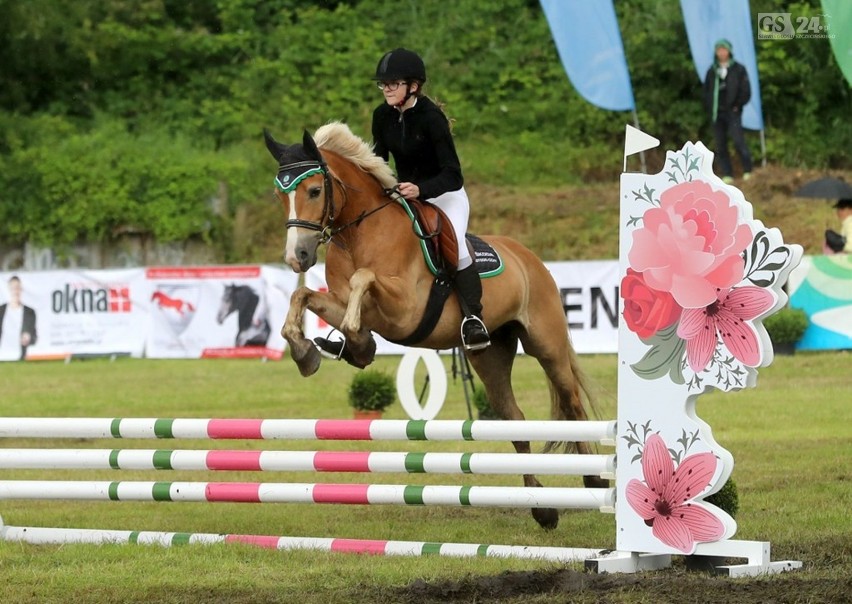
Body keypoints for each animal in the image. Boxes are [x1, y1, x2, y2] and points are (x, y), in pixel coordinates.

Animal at [264, 122, 604, 528]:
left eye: (315, 190)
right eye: (279, 195)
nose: (296, 257)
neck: (361, 231)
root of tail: (530, 258)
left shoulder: (405, 309)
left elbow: (364, 278)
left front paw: (355, 342)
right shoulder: (342, 302)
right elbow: (303, 296)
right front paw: (315, 350)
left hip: (546, 344)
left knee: (572, 404)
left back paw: (593, 481)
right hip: (490, 355)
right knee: (515, 420)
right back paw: (543, 508)